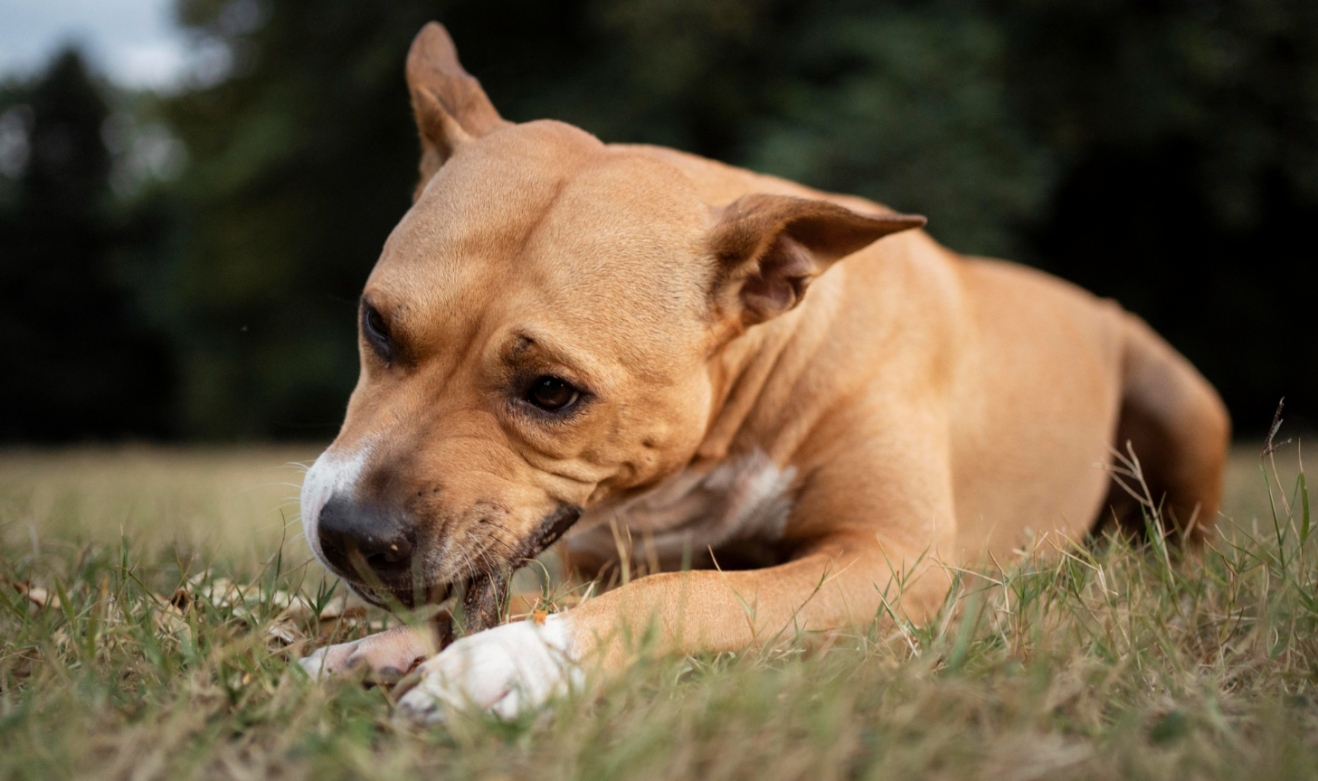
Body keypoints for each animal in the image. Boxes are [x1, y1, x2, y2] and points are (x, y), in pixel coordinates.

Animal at [296, 21, 1223, 721]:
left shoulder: (888, 560)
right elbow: (497, 599)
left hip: (1180, 397)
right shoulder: (596, 563)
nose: (350, 534)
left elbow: (684, 593)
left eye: (552, 391)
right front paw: (376, 646)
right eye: (377, 324)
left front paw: (518, 661)